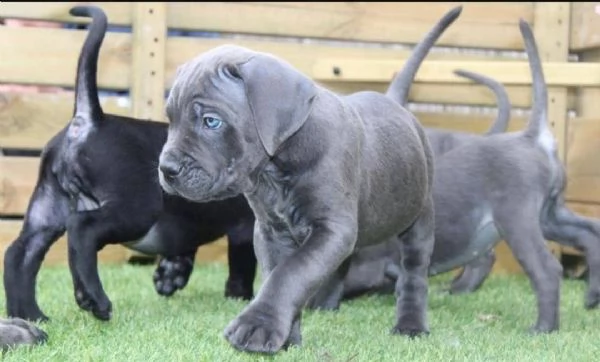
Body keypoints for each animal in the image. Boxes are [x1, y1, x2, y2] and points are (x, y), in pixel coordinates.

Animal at [2, 4, 258, 322]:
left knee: (18, 255)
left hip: (47, 209)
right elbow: (243, 267)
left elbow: (185, 247)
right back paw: (93, 299)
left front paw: (170, 275)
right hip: (136, 209)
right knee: (82, 229)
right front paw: (241, 297)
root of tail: (89, 120)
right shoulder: (245, 228)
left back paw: (28, 315)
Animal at [157, 3, 462, 354]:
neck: (276, 169)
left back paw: (410, 324)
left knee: (414, 273)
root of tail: (395, 103)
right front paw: (287, 336)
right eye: (171, 119)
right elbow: (284, 274)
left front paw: (257, 326)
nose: (166, 168)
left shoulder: (330, 228)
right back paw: (327, 305)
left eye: (211, 121)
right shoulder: (272, 232)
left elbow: (292, 273)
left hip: (419, 217)